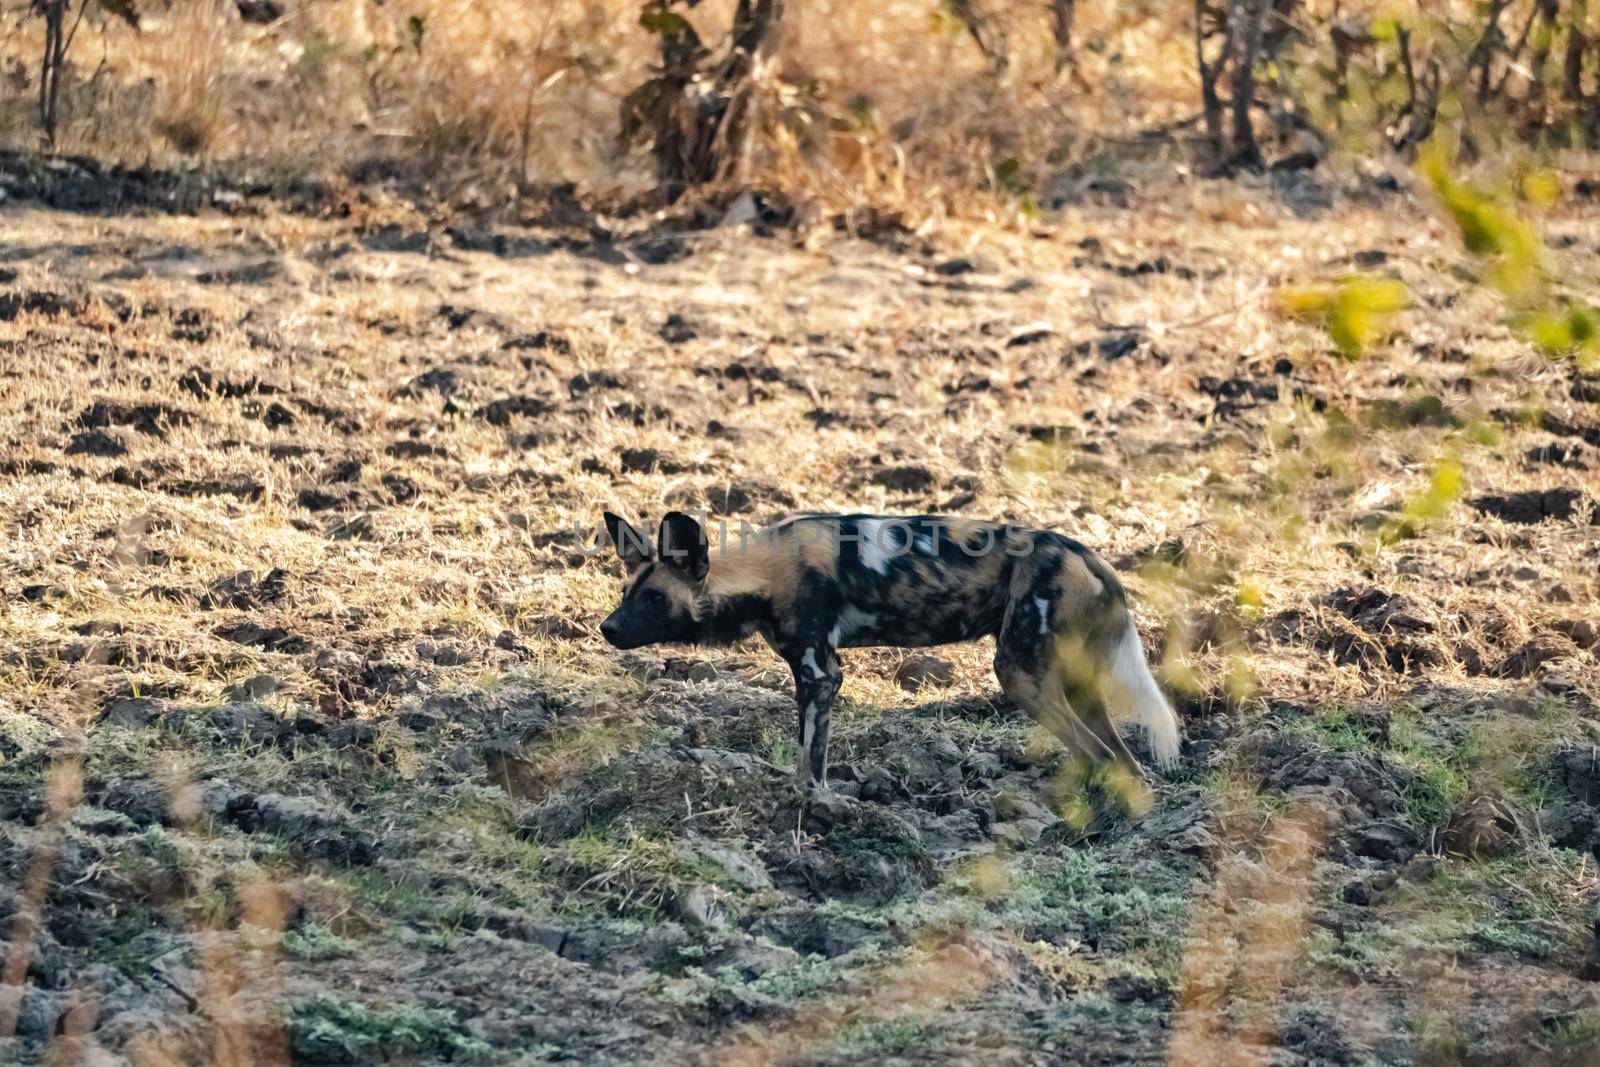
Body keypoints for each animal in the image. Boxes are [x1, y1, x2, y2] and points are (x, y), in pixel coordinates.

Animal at [598, 511, 1177, 790]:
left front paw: (813, 805)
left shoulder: (821, 673)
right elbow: (806, 748)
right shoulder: (809, 675)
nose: (607, 629)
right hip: (1073, 682)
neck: (763, 569)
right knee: (1124, 760)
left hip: (1019, 674)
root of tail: (1086, 552)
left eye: (654, 598)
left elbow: (812, 760)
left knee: (1097, 754)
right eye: (626, 592)